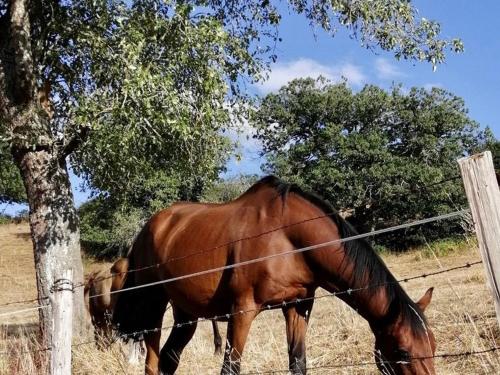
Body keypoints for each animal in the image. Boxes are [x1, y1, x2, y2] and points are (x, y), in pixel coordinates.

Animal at [111, 177, 436, 375]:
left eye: (433, 346)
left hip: (186, 314)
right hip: (152, 306)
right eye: (403, 351)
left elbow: (298, 364)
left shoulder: (298, 307)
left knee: (168, 360)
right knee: (152, 363)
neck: (287, 237)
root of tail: (153, 224)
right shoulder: (242, 311)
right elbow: (230, 368)